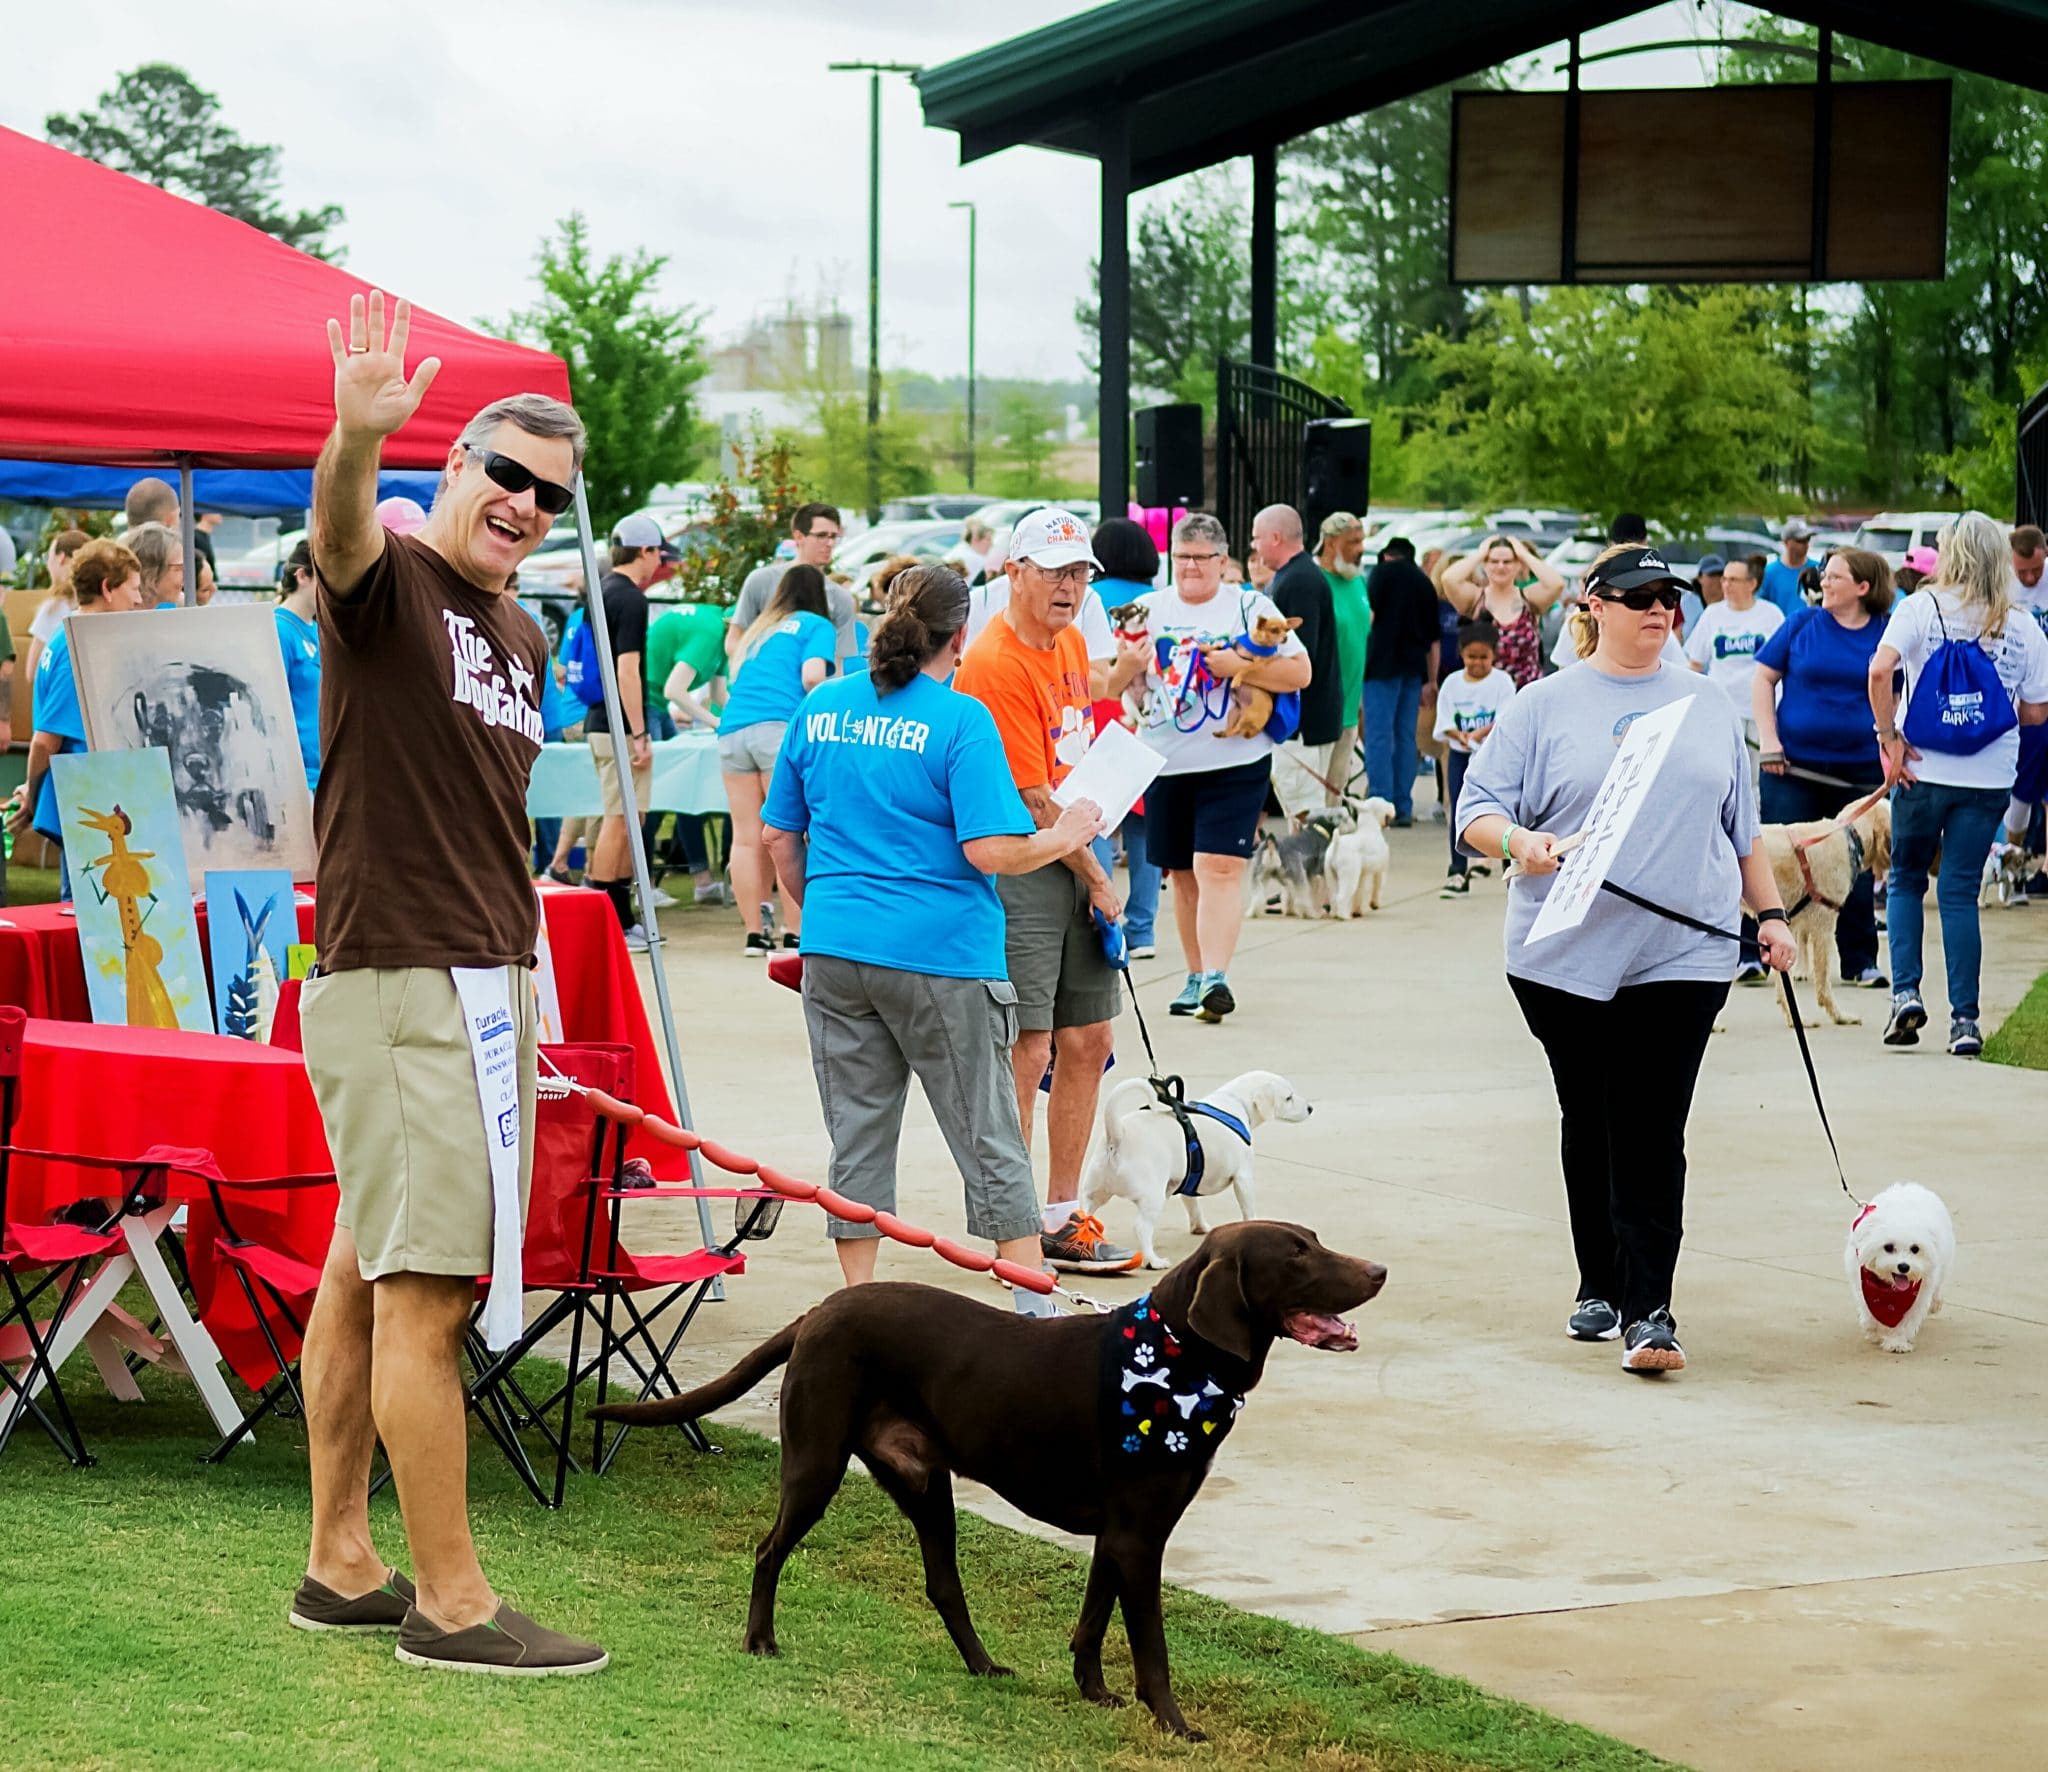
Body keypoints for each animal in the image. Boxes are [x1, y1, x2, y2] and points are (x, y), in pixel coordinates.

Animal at [589, 1222, 1386, 1739]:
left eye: (1315, 1241)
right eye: (1298, 1253)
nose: (1379, 1271)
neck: (1174, 1358)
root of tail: (818, 1311)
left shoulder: (1118, 1538)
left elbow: (1092, 1624)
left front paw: (1094, 1692)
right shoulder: (1140, 1539)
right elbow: (1152, 1650)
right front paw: (1175, 1726)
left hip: (925, 1484)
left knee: (944, 1585)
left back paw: (983, 1665)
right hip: (816, 1466)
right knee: (768, 1550)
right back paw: (760, 1640)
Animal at [1078, 1071, 1313, 1268]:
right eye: (1288, 1098)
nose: (1311, 1108)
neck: (1234, 1102)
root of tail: (1117, 1136)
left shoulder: (1187, 1182)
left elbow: (1193, 1206)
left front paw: (1200, 1227)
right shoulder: (1243, 1177)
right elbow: (1248, 1210)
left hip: (1093, 1194)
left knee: (1083, 1216)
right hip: (1152, 1198)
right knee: (1141, 1227)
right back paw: (1153, 1260)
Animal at [1757, 794, 1892, 1027]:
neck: (1849, 837)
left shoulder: (1786, 928)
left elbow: (1785, 984)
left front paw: (1794, 1019)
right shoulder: (1823, 926)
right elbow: (1822, 982)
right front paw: (1838, 1016)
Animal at [1845, 1182, 1953, 1352]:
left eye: (1915, 1249)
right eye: (1888, 1247)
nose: (1903, 1266)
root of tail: (1911, 1186)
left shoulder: (1919, 1293)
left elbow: (1906, 1320)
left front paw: (1896, 1342)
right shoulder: (1861, 1281)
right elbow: (1868, 1309)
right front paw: (1873, 1330)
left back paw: (1935, 1303)